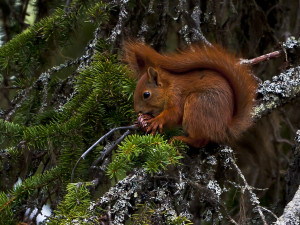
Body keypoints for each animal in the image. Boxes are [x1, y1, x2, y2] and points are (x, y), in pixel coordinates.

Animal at [124, 42, 258, 148]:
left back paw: (181, 139)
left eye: (146, 94)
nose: (137, 111)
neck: (169, 86)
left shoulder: (176, 95)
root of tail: (224, 127)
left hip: (196, 105)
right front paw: (145, 119)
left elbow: (174, 113)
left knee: (200, 141)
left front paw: (156, 120)